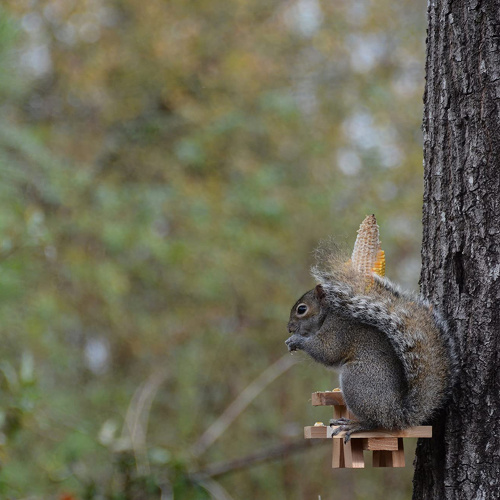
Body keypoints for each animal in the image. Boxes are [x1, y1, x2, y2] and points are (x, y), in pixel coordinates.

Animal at [286, 215, 458, 442]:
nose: (289, 328)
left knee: (374, 422)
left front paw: (297, 340)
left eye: (302, 309)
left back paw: (355, 425)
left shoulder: (338, 331)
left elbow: (327, 352)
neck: (328, 315)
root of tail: (396, 414)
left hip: (356, 380)